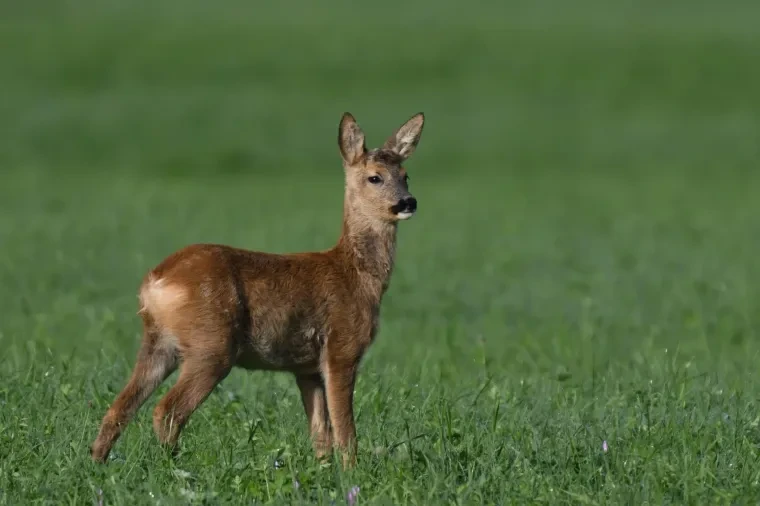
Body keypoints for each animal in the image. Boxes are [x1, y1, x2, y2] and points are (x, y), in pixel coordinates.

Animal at [90, 111, 425, 468]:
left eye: (406, 175)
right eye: (375, 177)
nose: (407, 202)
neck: (356, 275)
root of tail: (155, 280)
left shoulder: (306, 367)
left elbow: (321, 433)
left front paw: (324, 471)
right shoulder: (341, 347)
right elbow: (345, 431)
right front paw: (352, 472)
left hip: (159, 342)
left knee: (120, 406)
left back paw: (97, 463)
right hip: (212, 343)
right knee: (166, 410)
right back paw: (176, 467)